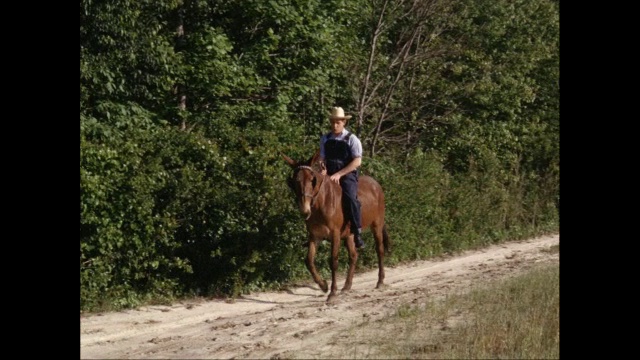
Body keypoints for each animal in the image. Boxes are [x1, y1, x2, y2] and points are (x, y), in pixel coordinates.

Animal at [284, 150, 390, 302]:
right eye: (294, 181)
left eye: (312, 179)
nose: (304, 210)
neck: (321, 202)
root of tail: (376, 185)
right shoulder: (315, 235)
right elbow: (309, 260)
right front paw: (323, 285)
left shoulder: (335, 235)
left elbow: (333, 261)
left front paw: (332, 292)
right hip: (350, 235)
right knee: (354, 255)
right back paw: (347, 286)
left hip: (377, 225)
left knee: (379, 250)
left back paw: (380, 281)